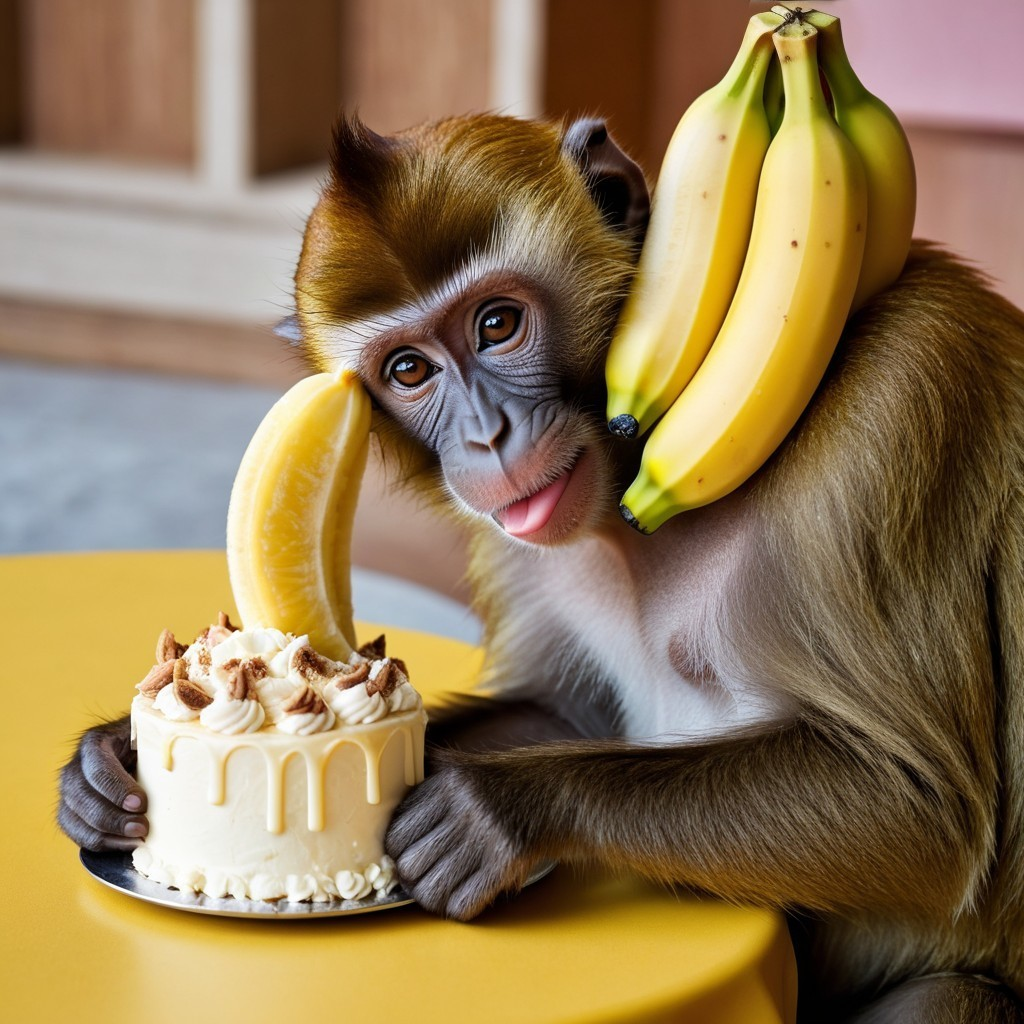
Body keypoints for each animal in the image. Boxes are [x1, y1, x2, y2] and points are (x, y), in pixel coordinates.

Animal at [57, 113, 1024, 1023]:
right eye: (408, 370)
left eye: (497, 324)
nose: (487, 438)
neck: (636, 498)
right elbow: (566, 711)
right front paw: (103, 768)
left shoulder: (899, 396)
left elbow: (917, 806)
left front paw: (497, 810)